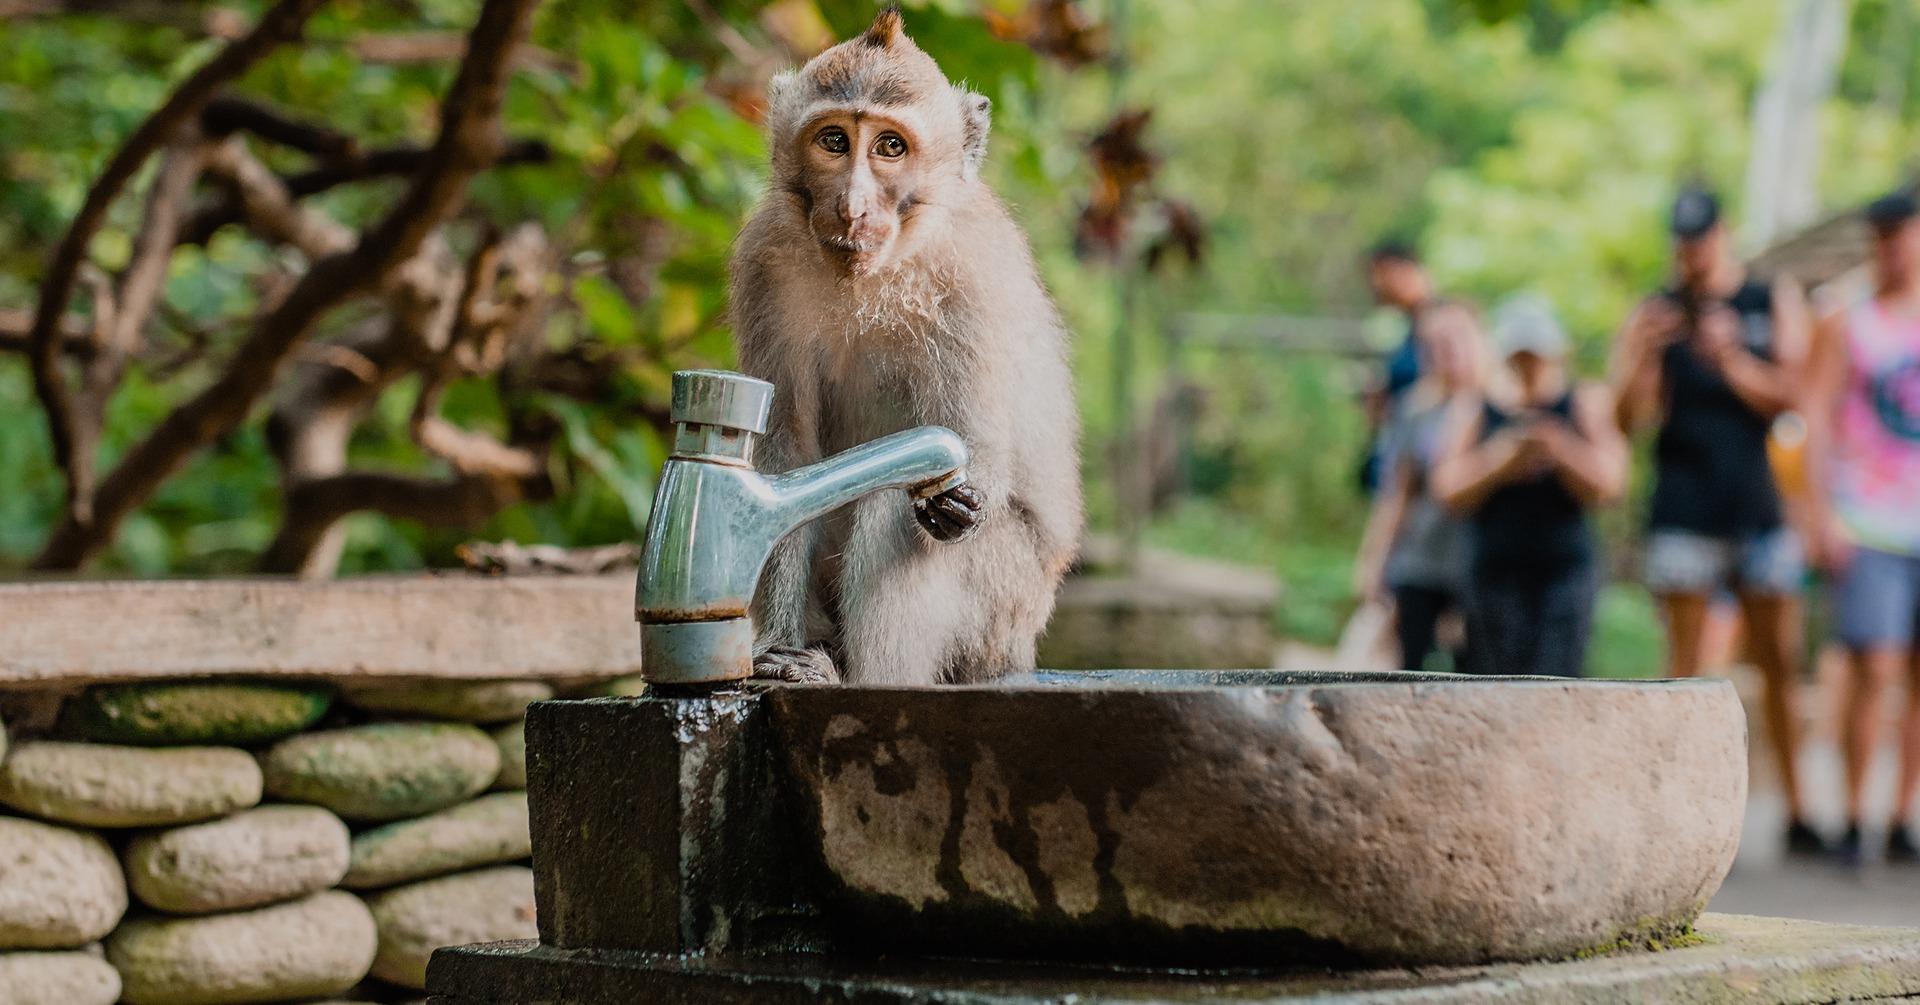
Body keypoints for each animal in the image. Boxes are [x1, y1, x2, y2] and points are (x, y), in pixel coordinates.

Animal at [730, 7, 1083, 686]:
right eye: (834, 141)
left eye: (890, 146)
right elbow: (787, 462)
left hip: (1002, 610)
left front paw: (955, 500)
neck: (875, 271)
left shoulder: (972, 276)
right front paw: (775, 653)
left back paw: (865, 681)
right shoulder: (763, 264)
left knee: (897, 512)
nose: (852, 207)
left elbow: (973, 451)